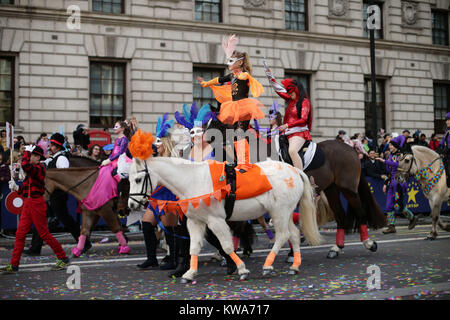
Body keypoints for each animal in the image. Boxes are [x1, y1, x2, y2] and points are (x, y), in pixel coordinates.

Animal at [127, 156, 324, 284]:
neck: (193, 180)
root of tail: (295, 170)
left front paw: (242, 270)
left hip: (279, 213)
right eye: (128, 179)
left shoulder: (216, 221)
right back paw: (295, 266)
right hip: (285, 213)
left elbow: (227, 246)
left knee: (283, 236)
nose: (131, 205)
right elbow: (194, 247)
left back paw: (268, 266)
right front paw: (189, 273)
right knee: (294, 234)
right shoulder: (195, 222)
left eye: (138, 179)